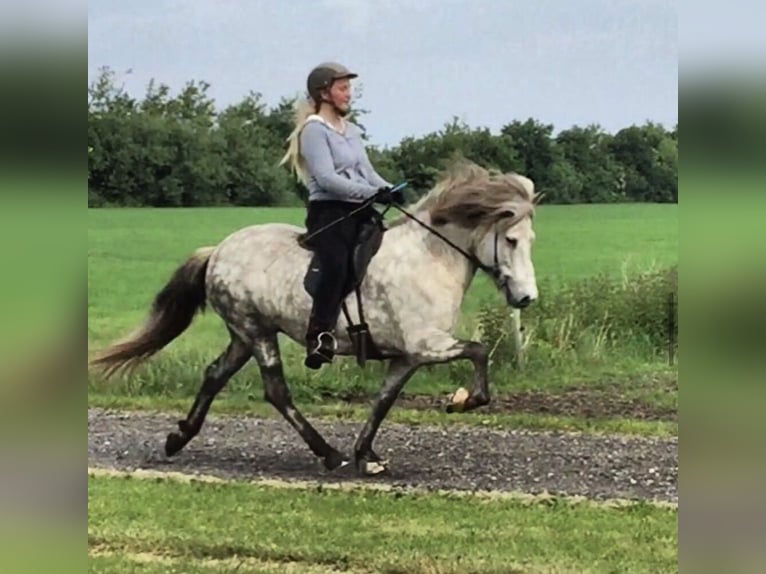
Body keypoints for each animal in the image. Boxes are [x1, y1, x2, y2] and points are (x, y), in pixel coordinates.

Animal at [90, 161, 544, 476]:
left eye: (530, 240)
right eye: (511, 240)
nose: (526, 298)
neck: (429, 257)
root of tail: (217, 250)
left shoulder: (407, 357)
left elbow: (384, 401)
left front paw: (367, 455)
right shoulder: (426, 345)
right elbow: (479, 350)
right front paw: (464, 401)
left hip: (244, 334)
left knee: (215, 374)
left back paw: (178, 437)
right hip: (256, 331)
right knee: (276, 392)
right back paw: (328, 454)